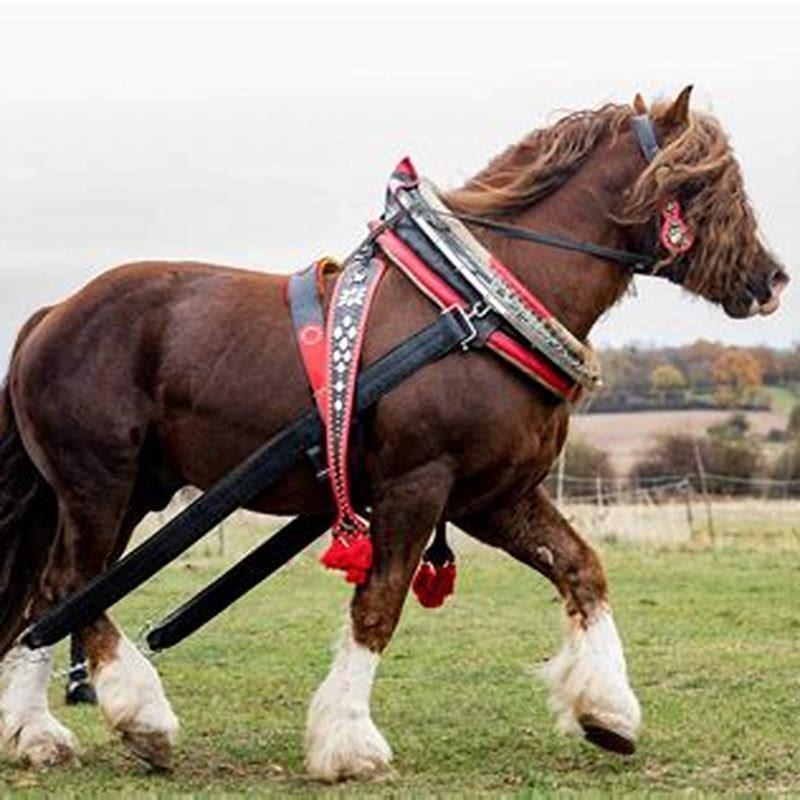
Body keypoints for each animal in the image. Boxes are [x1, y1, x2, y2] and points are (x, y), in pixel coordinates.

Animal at [0, 86, 788, 776]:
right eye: (710, 180)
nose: (772, 279)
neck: (480, 305)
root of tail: (50, 315)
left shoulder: (493, 496)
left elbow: (581, 568)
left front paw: (608, 712)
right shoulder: (418, 482)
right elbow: (377, 605)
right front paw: (347, 742)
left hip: (130, 491)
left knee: (48, 598)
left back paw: (36, 733)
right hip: (100, 482)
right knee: (74, 584)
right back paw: (142, 718)